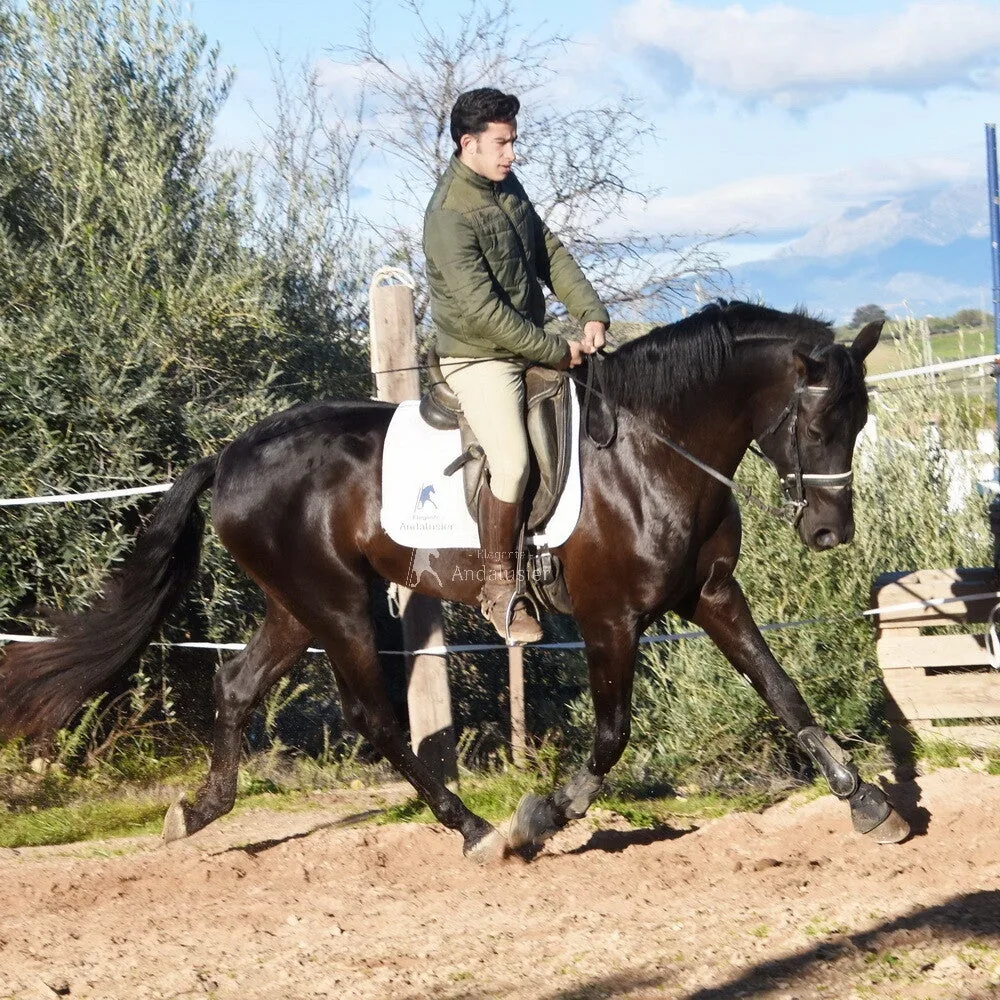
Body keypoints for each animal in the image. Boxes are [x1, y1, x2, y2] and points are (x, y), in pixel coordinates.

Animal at [0, 300, 909, 859]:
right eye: (818, 424)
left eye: (861, 421)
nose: (829, 533)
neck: (654, 450)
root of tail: (229, 456)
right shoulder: (612, 619)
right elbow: (611, 734)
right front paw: (543, 816)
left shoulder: (710, 595)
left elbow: (780, 687)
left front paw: (866, 801)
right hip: (339, 605)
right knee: (374, 718)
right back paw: (475, 829)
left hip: (296, 605)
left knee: (235, 686)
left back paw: (198, 810)